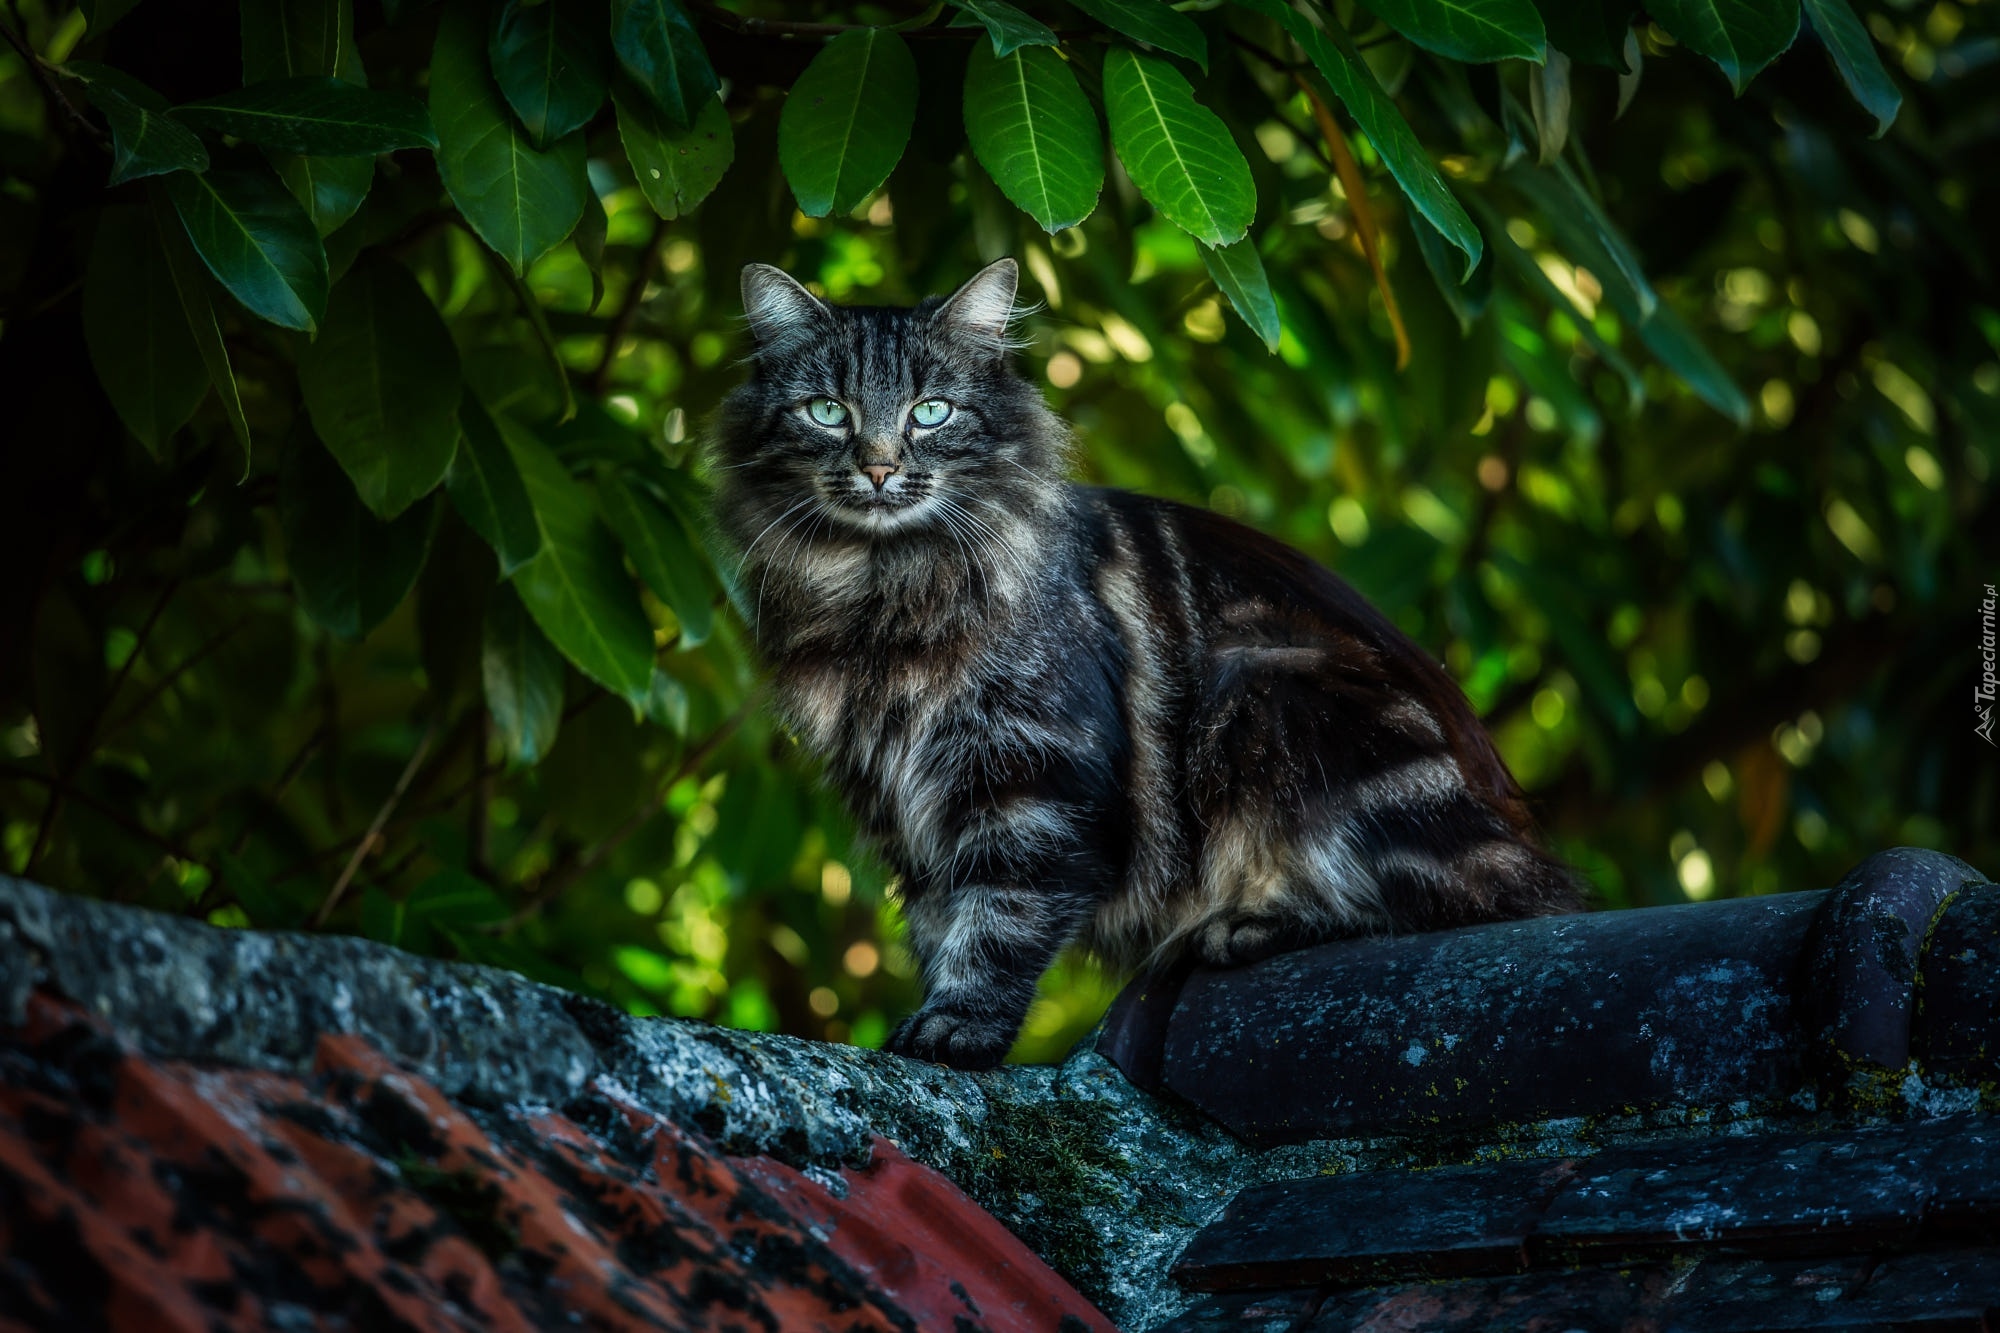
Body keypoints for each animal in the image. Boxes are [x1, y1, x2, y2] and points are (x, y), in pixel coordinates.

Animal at [716, 260, 1576, 1072]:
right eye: (829, 411)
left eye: (931, 412)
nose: (880, 467)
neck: (881, 589)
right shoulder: (900, 804)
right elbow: (941, 924)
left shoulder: (1032, 780)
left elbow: (1001, 919)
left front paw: (960, 1026)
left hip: (1267, 684)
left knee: (1442, 907)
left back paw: (1243, 927)